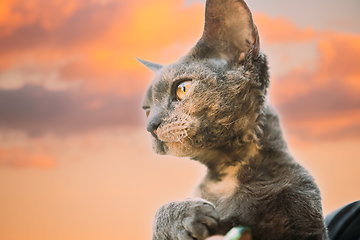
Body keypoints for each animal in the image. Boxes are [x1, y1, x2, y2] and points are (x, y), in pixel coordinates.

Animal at [140, 0, 330, 239]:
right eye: (147, 109)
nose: (150, 126)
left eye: (182, 89)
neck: (228, 173)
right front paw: (183, 215)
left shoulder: (303, 210)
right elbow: (160, 212)